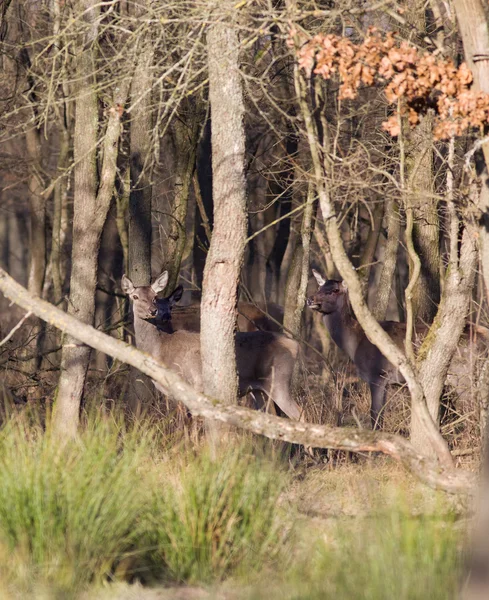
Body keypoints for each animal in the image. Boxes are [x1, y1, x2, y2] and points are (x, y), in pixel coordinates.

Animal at [121, 272, 304, 422]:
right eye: (135, 296)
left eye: (154, 296)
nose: (153, 311)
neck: (160, 348)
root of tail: (295, 345)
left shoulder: (186, 383)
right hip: (258, 388)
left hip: (278, 379)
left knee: (298, 414)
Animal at [306, 270, 486, 428]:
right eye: (320, 287)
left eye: (334, 290)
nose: (310, 299)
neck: (354, 344)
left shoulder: (378, 375)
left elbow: (375, 416)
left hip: (463, 375)